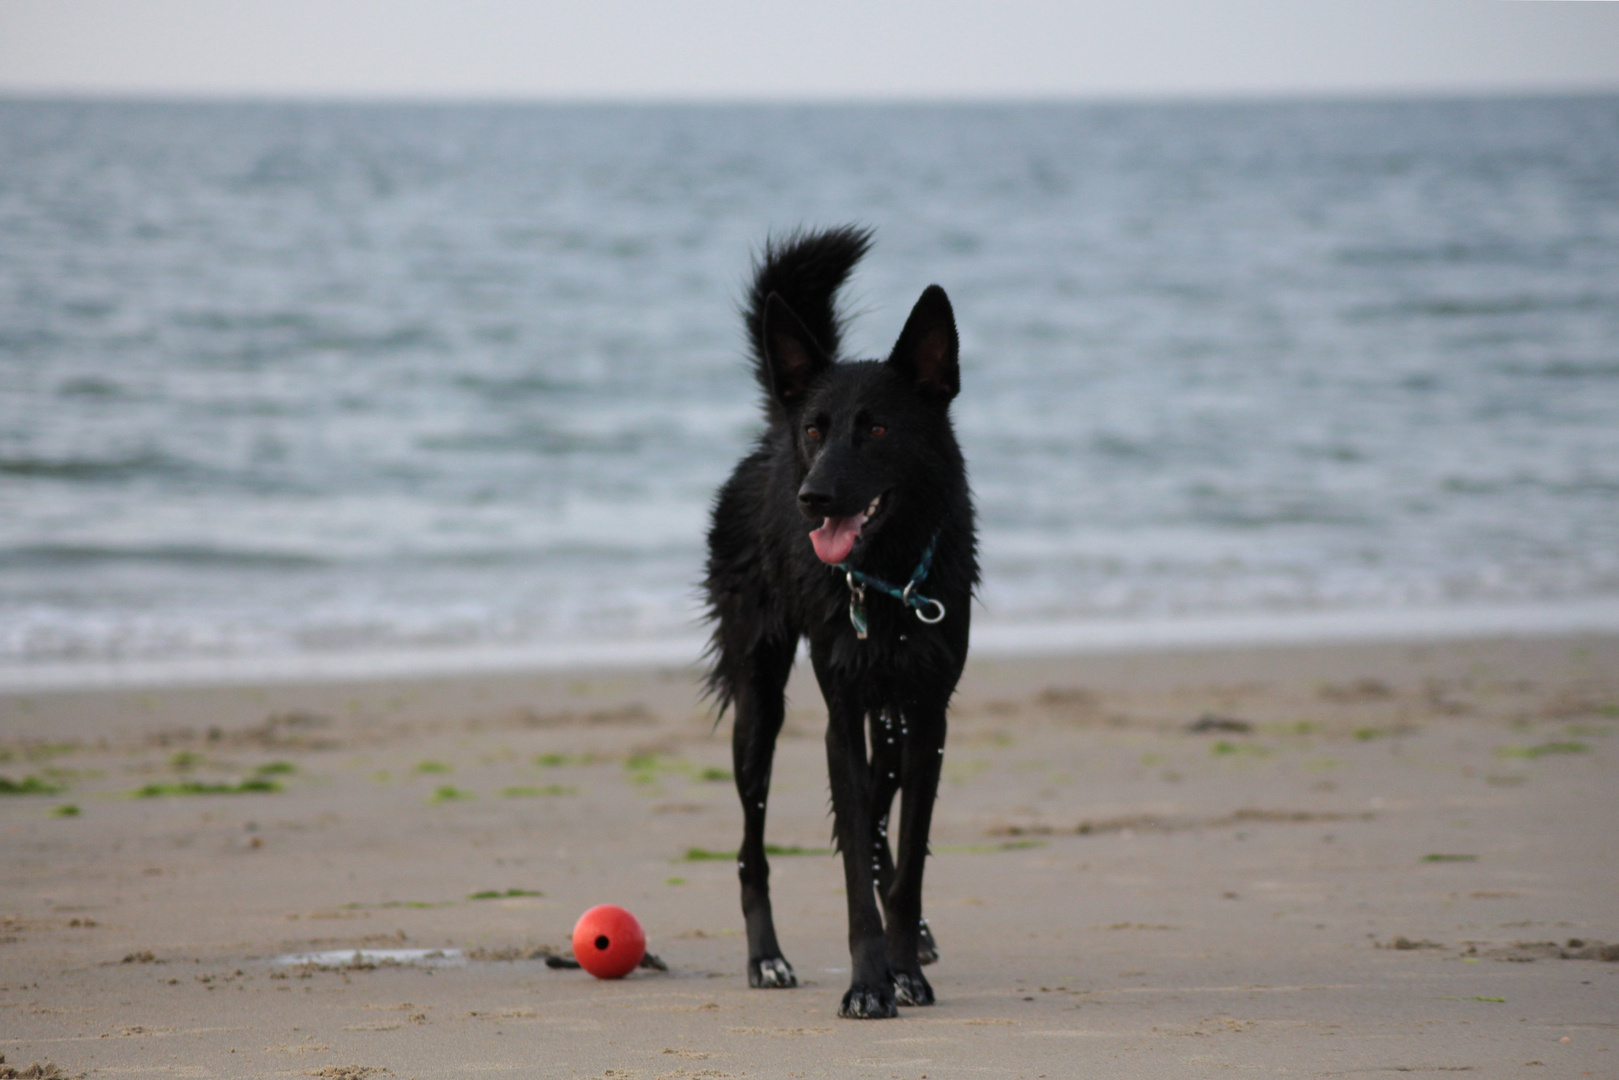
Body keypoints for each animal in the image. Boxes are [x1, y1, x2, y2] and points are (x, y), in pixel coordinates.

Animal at [705, 223, 977, 1016]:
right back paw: (765, 958)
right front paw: (867, 983)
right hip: (758, 704)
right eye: (818, 430)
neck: (886, 581)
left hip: (886, 721)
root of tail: (772, 426)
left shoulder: (927, 719)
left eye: (877, 428)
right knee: (752, 847)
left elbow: (905, 856)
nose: (814, 499)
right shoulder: (838, 714)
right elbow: (856, 864)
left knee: (877, 800)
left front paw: (904, 970)